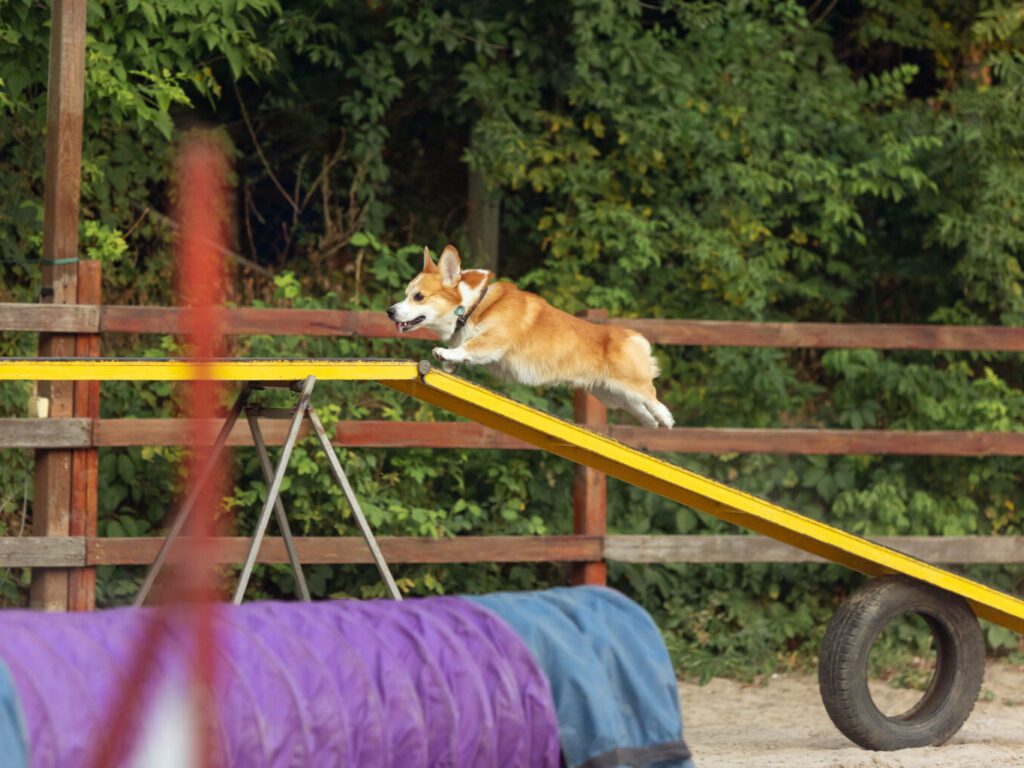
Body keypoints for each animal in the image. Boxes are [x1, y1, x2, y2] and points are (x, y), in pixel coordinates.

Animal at [385, 244, 671, 430]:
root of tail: (630, 335)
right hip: (609, 393)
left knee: (651, 395)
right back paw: (650, 422)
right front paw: (449, 361)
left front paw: (445, 352)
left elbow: (470, 346)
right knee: (637, 406)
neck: (472, 306)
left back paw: (666, 418)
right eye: (406, 294)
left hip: (628, 383)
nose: (390, 311)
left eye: (418, 296)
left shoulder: (495, 340)